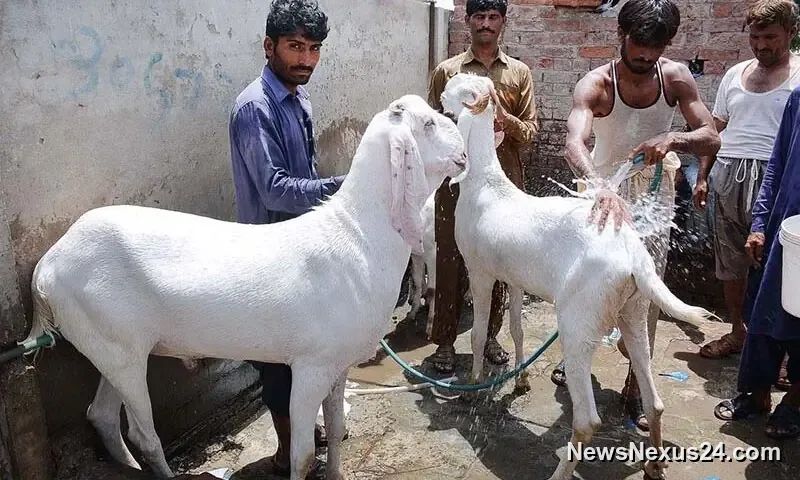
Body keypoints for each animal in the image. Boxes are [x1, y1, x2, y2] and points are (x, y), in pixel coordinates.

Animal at [22, 95, 466, 480]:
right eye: (427, 124)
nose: (463, 147)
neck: (358, 234)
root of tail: (47, 267)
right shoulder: (312, 365)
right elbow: (303, 455)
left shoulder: (339, 364)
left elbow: (338, 431)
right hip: (118, 346)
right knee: (143, 434)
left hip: (107, 344)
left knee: (100, 414)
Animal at [441, 73, 715, 480]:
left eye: (457, 87)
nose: (439, 94)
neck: (486, 184)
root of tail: (633, 255)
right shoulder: (516, 278)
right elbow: (517, 329)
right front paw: (520, 379)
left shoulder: (481, 270)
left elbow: (476, 334)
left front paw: (473, 386)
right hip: (633, 313)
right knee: (655, 401)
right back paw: (654, 463)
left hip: (578, 323)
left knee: (588, 420)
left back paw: (561, 472)